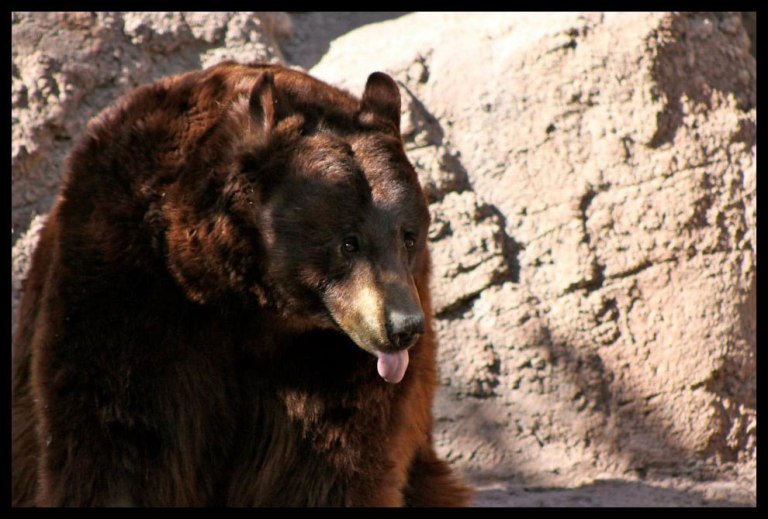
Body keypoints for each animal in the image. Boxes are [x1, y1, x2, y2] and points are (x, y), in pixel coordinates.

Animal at [11, 61, 473, 507]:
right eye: (348, 241)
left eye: (408, 235)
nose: (404, 327)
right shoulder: (126, 282)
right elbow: (121, 434)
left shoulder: (326, 358)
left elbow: (327, 458)